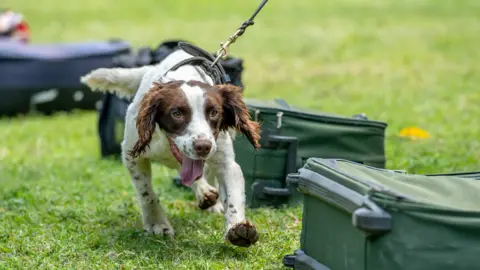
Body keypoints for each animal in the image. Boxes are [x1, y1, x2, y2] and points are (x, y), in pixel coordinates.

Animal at [83, 48, 262, 247]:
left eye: (214, 112)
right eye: (176, 113)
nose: (203, 146)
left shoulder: (226, 162)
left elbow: (233, 198)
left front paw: (238, 227)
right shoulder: (132, 156)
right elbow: (147, 193)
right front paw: (157, 224)